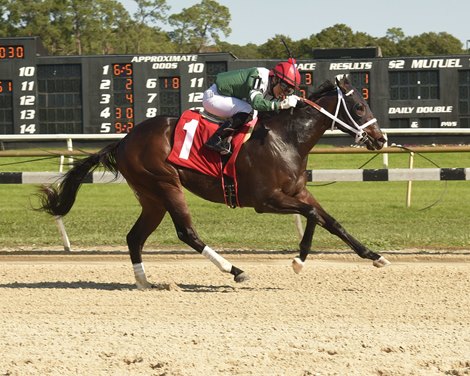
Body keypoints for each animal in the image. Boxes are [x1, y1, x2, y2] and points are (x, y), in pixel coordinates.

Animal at [37, 75, 390, 288]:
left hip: (151, 197)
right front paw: (298, 261)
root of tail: (123, 140)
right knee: (187, 233)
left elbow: (331, 221)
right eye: (359, 106)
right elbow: (315, 216)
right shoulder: (266, 200)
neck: (287, 138)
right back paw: (234, 270)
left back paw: (144, 282)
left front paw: (375, 256)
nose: (380, 139)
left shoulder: (298, 192)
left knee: (134, 237)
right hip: (166, 184)